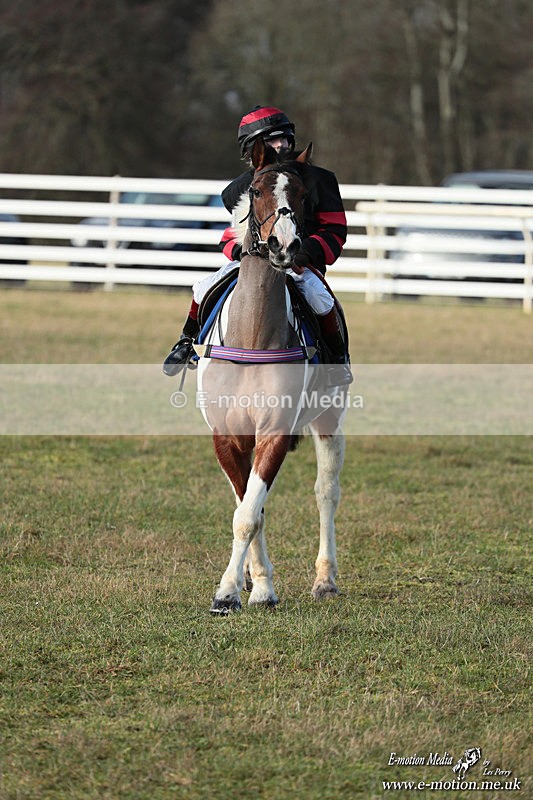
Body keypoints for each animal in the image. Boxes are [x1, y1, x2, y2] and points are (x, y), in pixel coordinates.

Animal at [195, 138, 346, 614]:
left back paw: (325, 579)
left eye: (302, 195)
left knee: (326, 492)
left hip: (330, 419)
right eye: (257, 190)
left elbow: (248, 515)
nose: (285, 245)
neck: (254, 334)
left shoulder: (276, 430)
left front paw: (229, 592)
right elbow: (250, 509)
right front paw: (254, 583)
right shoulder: (226, 435)